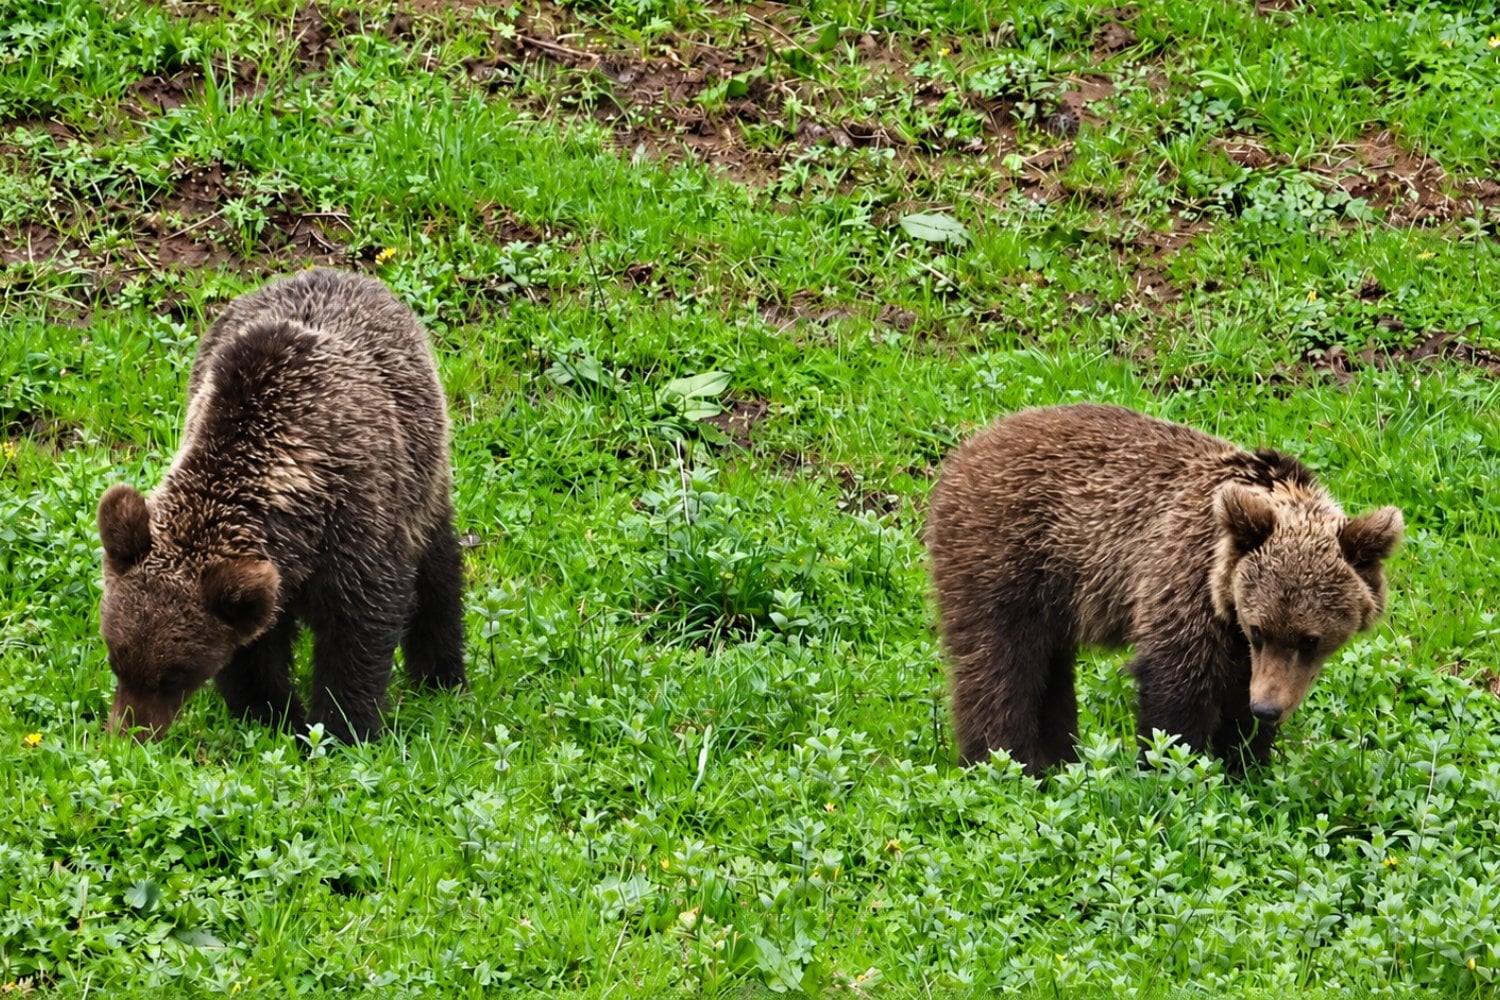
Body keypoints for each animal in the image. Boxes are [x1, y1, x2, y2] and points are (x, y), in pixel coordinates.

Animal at [97, 268, 466, 743]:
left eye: (175, 674)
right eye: (116, 658)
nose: (128, 736)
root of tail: (342, 273)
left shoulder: (355, 523)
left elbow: (358, 629)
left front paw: (343, 727)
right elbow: (254, 650)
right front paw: (271, 715)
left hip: (422, 473)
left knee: (436, 570)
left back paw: (441, 673)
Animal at [925, 403, 1403, 776]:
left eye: (1309, 640)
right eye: (1260, 630)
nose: (1267, 707)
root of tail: (963, 452)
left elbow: (1237, 697)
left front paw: (1246, 762)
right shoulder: (1183, 578)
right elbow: (1178, 686)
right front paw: (1173, 766)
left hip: (1053, 592)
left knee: (1050, 668)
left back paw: (1059, 759)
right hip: (1006, 558)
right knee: (1001, 662)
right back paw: (1005, 762)